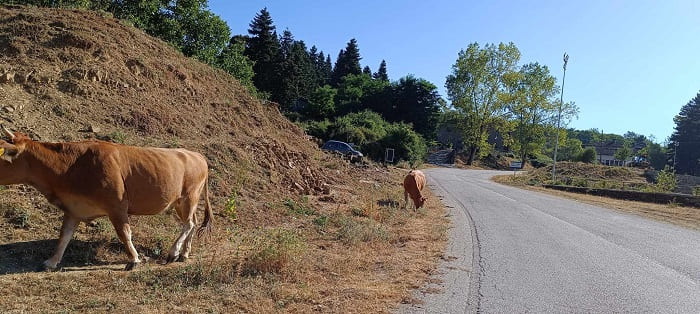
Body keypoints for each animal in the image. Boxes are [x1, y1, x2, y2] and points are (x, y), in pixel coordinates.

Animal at [0, 126, 213, 272]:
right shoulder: (73, 208)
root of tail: (196, 154)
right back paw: (184, 253)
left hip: (189, 196)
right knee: (192, 222)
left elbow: (124, 233)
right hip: (179, 201)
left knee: (188, 224)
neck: (72, 167)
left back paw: (173, 252)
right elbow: (64, 236)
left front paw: (134, 259)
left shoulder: (117, 206)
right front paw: (51, 262)